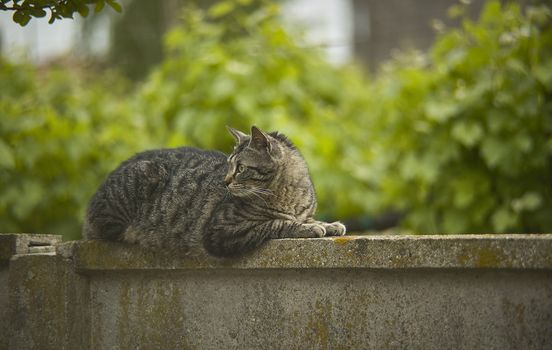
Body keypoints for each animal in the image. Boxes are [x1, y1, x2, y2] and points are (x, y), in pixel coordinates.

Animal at [83, 126, 344, 258]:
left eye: (240, 168)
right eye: (229, 165)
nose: (225, 181)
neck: (288, 196)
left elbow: (308, 218)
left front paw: (329, 224)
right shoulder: (220, 231)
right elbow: (275, 224)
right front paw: (306, 227)